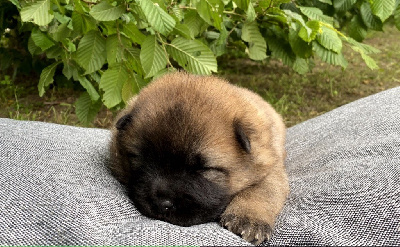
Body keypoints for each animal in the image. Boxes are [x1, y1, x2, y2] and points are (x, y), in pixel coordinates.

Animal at [109, 72, 290, 245]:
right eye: (141, 158)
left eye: (204, 169)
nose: (162, 204)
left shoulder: (272, 168)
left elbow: (262, 191)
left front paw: (248, 219)